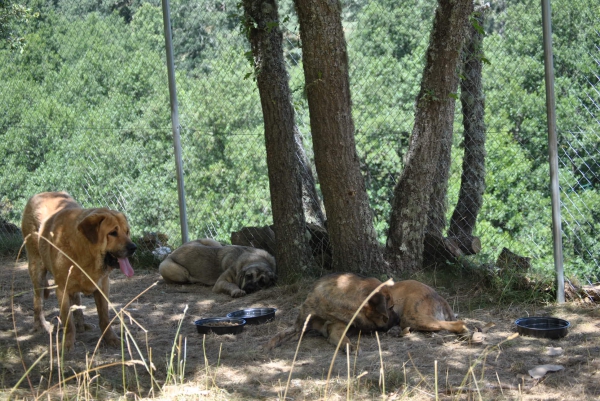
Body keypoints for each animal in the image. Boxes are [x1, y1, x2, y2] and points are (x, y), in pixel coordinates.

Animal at [21, 189, 137, 348]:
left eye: (127, 232)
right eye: (113, 233)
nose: (133, 248)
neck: (85, 253)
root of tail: (39, 194)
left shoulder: (103, 286)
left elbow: (104, 317)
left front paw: (111, 339)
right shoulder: (62, 289)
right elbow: (67, 321)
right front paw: (67, 344)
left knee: (76, 301)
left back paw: (81, 324)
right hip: (36, 268)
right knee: (38, 300)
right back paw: (40, 325)